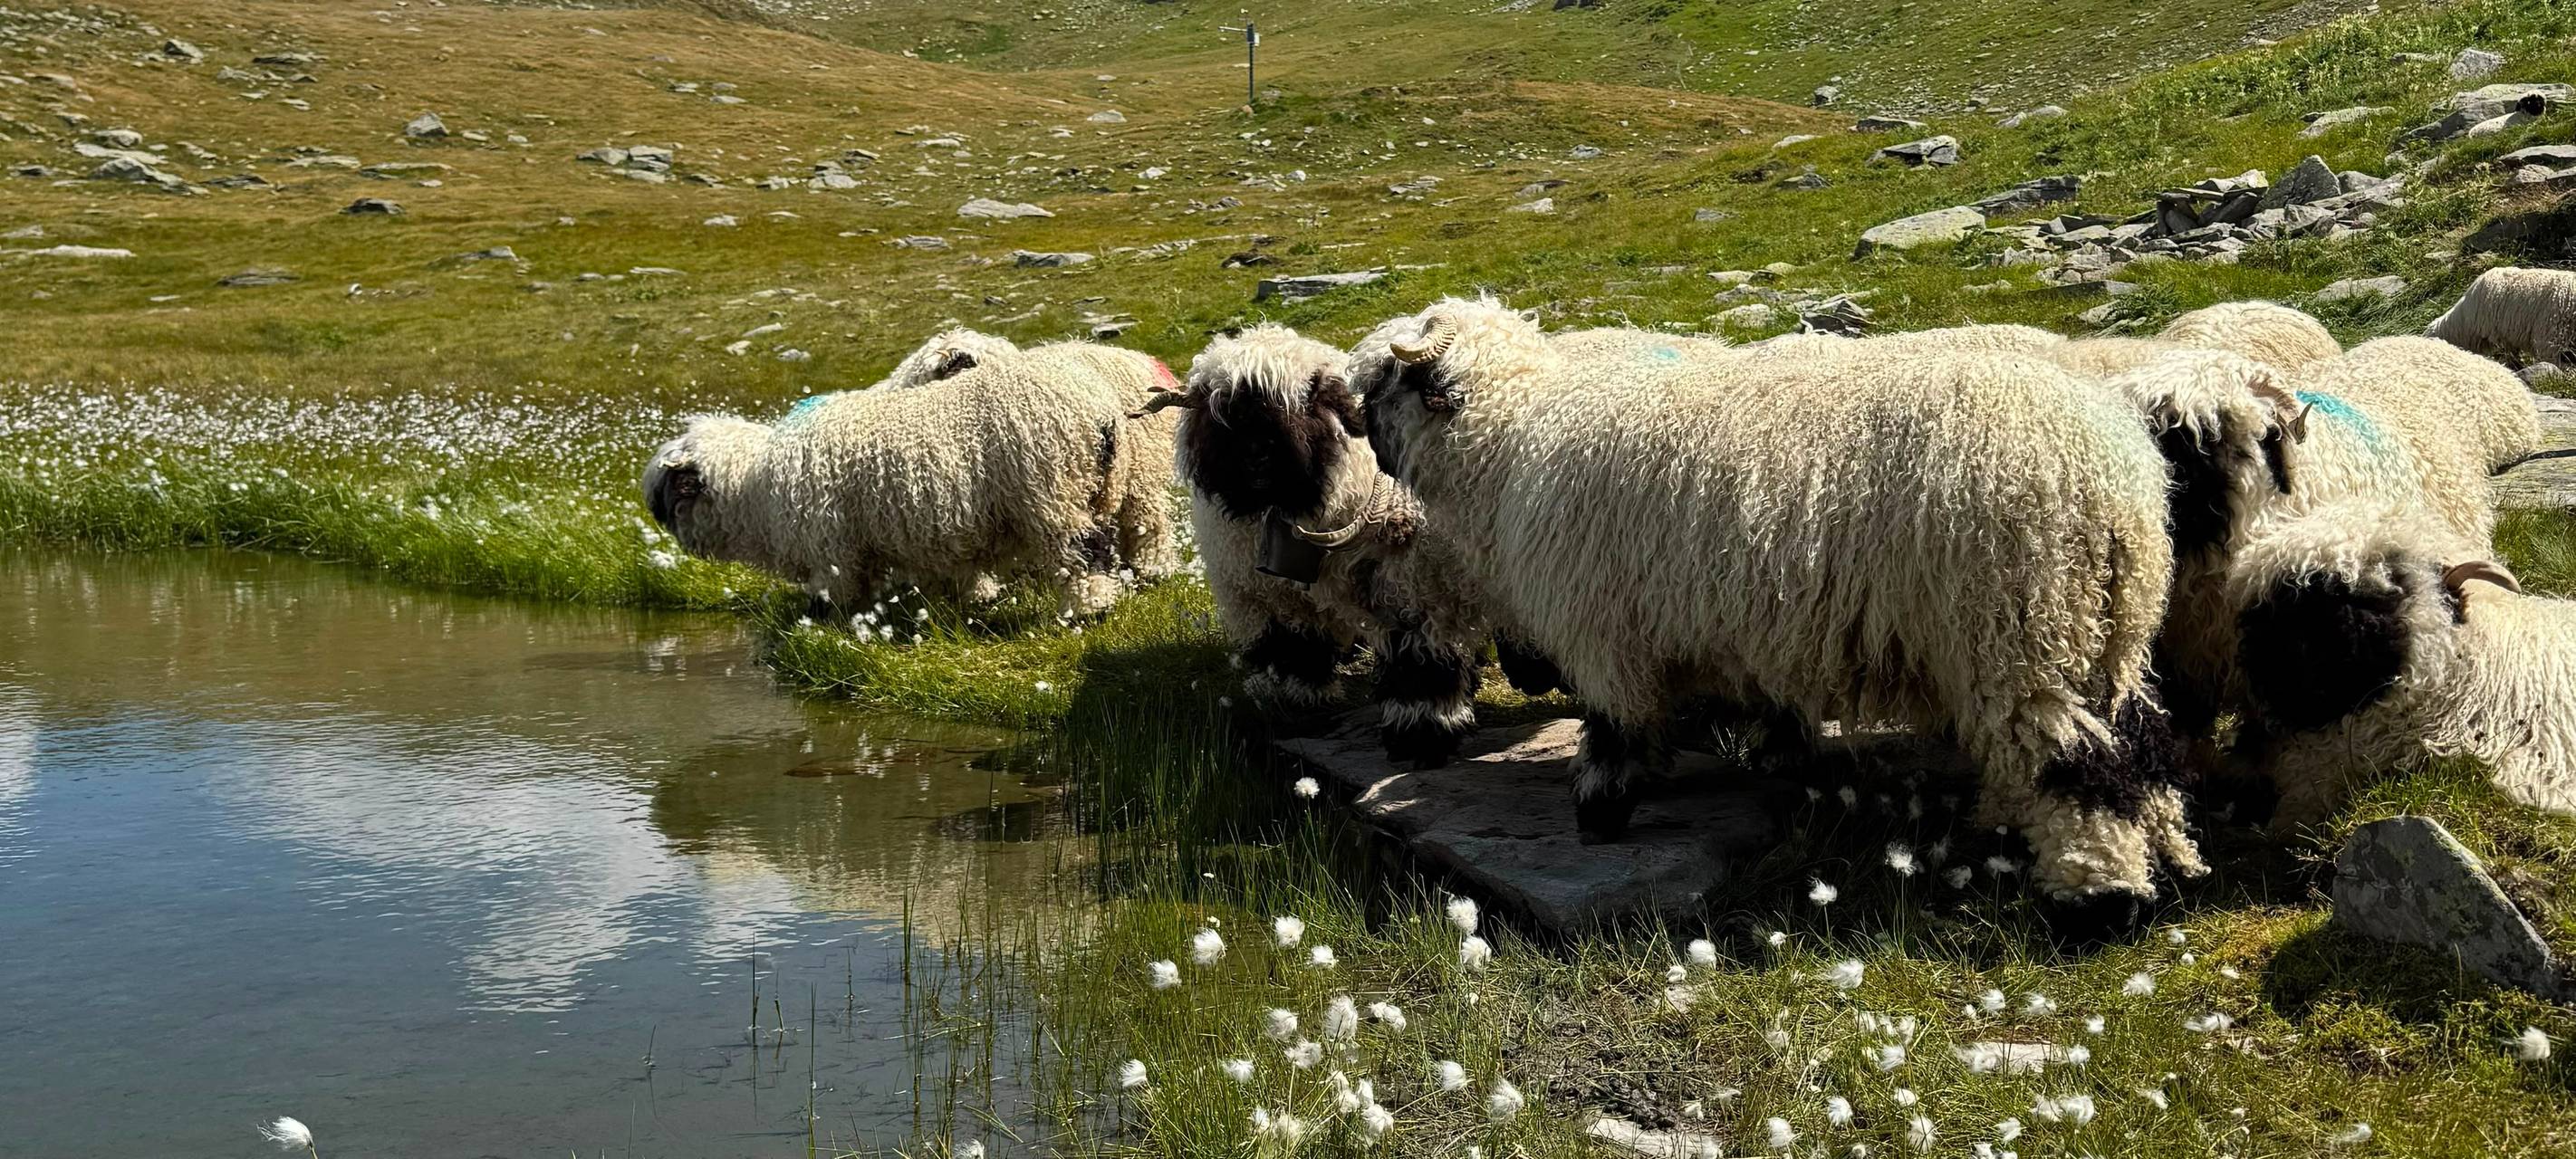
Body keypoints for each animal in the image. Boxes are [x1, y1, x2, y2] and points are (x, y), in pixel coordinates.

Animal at [642, 341, 1178, 618]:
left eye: (667, 494)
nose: (660, 522)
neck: (756, 487)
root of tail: (1101, 412)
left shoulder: (831, 548)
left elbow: (837, 597)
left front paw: (832, 626)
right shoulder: (947, 532)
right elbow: (963, 574)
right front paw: (975, 602)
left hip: (1052, 497)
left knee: (1089, 553)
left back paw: (1091, 607)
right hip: (1107, 488)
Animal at [1353, 296, 2216, 917]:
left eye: (1381, 386)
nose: (1368, 444)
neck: (1512, 440)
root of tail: (2115, 478)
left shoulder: (1603, 630)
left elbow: (1615, 725)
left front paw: (1600, 810)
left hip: (2022, 625)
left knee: (2081, 759)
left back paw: (2098, 898)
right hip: (2104, 628)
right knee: (2141, 740)